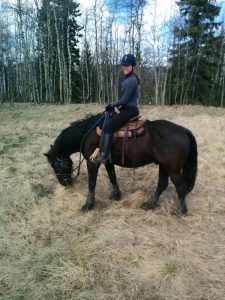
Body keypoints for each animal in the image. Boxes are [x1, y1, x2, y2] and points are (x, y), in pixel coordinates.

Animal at [45, 111, 197, 214]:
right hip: (164, 166)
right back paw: (149, 204)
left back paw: (181, 211)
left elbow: (91, 183)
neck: (88, 133)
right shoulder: (108, 162)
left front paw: (88, 205)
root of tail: (183, 130)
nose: (63, 183)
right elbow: (112, 177)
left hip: (173, 169)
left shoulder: (92, 162)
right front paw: (116, 195)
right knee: (162, 184)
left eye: (56, 164)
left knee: (180, 187)